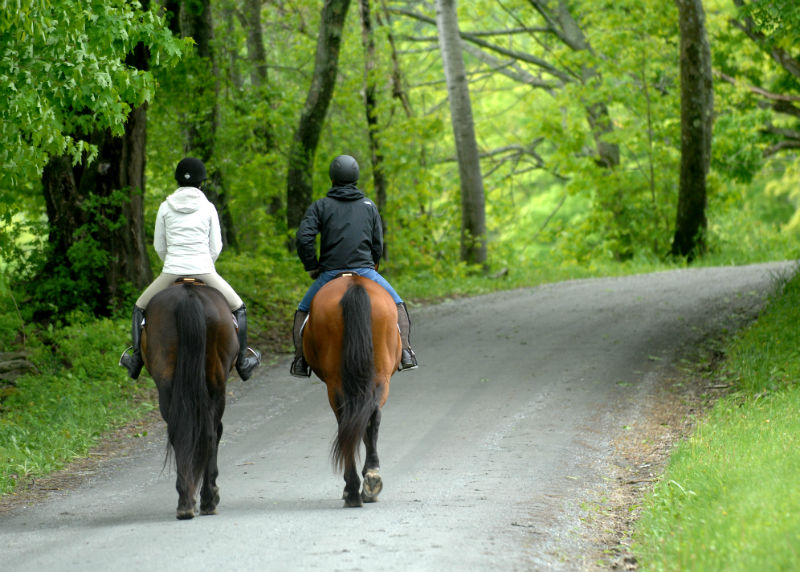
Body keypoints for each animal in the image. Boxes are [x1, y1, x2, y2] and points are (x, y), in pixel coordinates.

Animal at [141, 282, 238, 520]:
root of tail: (188, 294)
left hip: (167, 385)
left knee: (181, 433)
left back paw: (186, 502)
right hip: (216, 384)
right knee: (211, 433)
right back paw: (207, 500)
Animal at [302, 274, 400, 508]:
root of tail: (353, 283)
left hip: (336, 384)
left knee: (348, 421)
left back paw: (353, 489)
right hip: (379, 377)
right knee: (371, 418)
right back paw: (370, 480)